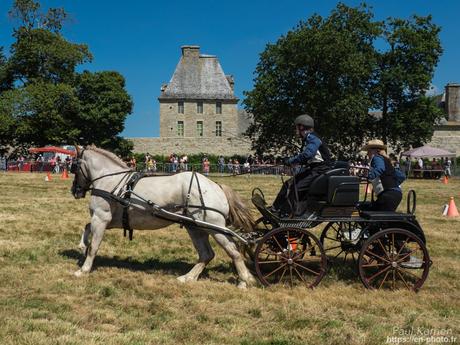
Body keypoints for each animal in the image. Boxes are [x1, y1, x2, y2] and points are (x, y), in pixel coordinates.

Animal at [72, 145, 258, 288]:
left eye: (74, 166)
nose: (75, 191)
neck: (112, 182)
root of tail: (216, 186)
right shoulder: (108, 220)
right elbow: (87, 228)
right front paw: (82, 246)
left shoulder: (101, 218)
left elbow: (94, 246)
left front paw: (83, 270)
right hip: (195, 227)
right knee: (206, 254)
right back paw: (188, 277)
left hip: (214, 227)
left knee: (233, 251)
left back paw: (245, 280)